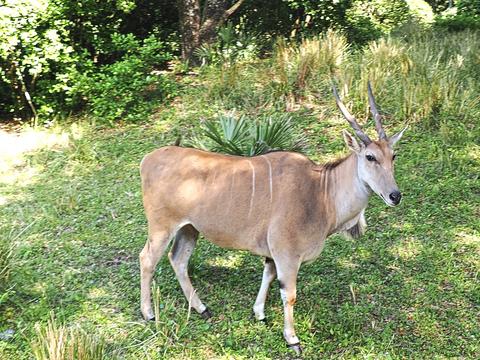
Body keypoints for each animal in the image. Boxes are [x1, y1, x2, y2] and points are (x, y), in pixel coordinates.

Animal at [138, 82, 404, 354]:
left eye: (393, 156)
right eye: (370, 157)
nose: (395, 195)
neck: (321, 193)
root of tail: (147, 159)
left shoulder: (273, 253)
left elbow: (267, 274)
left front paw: (259, 314)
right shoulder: (287, 253)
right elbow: (289, 294)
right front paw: (292, 339)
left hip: (189, 228)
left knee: (178, 259)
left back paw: (201, 308)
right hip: (161, 226)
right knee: (147, 259)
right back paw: (148, 313)